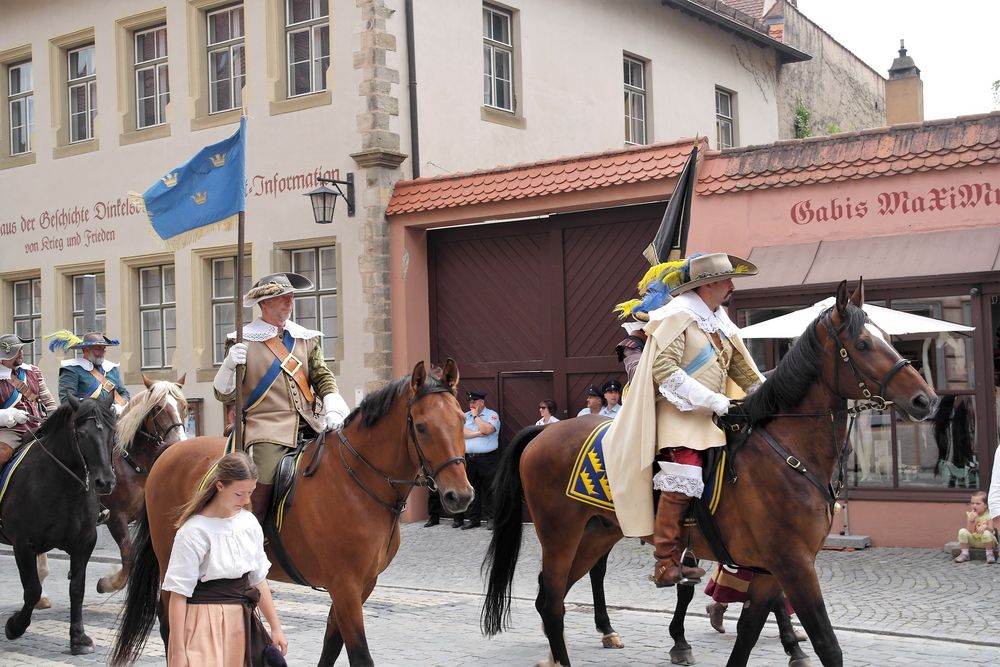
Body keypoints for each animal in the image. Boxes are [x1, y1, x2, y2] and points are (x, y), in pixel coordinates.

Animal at [0, 394, 116, 656]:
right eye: (81, 434)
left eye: (112, 432)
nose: (105, 482)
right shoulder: (23, 544)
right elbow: (33, 590)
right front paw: (14, 626)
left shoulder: (85, 542)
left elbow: (77, 588)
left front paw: (79, 638)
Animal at [111, 362, 470, 664]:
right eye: (421, 427)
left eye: (461, 421)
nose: (460, 496)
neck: (357, 481)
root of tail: (170, 452)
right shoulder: (346, 586)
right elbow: (358, 653)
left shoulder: (361, 585)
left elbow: (331, 644)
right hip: (172, 558)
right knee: (170, 619)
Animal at [482, 282, 936, 667]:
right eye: (862, 344)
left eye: (889, 337)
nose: (925, 400)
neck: (788, 452)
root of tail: (546, 431)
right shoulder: (795, 564)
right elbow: (827, 644)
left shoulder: (771, 570)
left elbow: (749, 633)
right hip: (560, 534)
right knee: (553, 600)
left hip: (596, 534)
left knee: (553, 593)